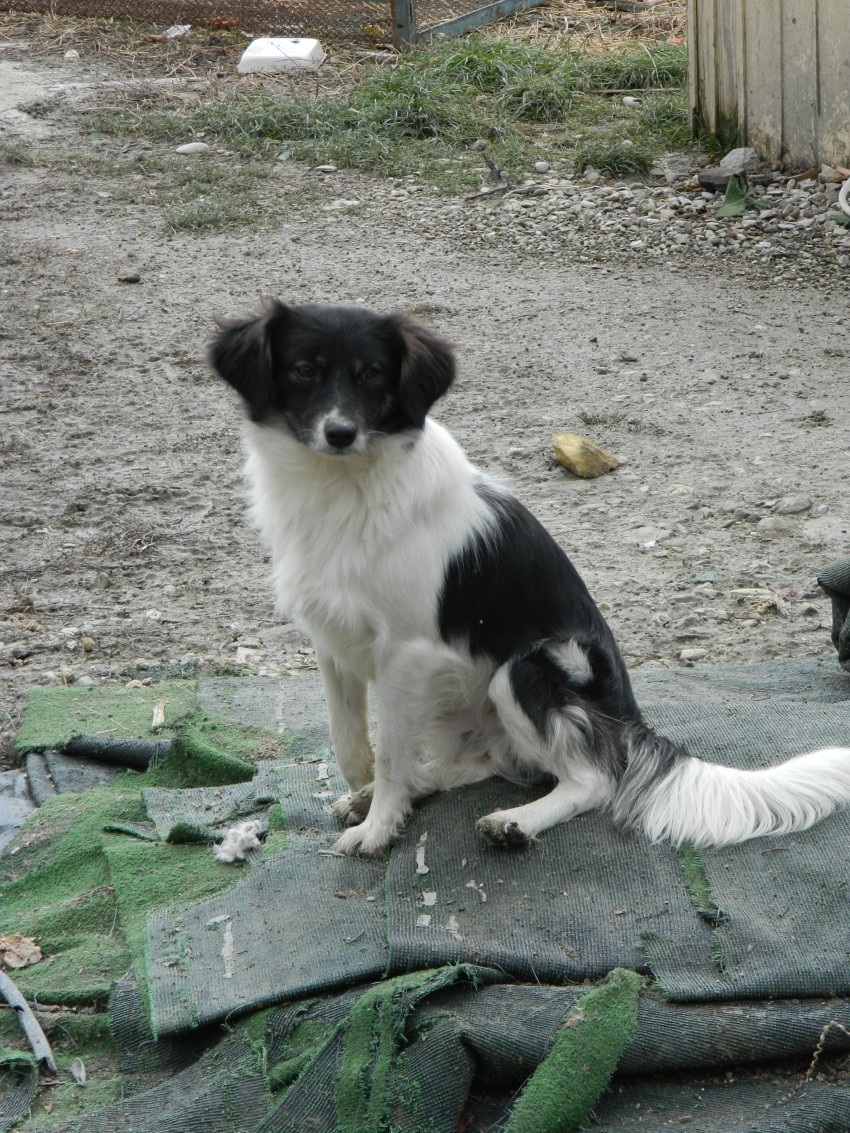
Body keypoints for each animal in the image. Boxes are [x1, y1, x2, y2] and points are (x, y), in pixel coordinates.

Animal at [211, 301, 850, 856]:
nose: (340, 433)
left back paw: (516, 823)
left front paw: (377, 828)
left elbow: (390, 752)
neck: (344, 487)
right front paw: (368, 799)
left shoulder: (407, 652)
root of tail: (629, 720)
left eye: (372, 376)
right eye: (303, 371)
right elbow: (351, 741)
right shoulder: (333, 640)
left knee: (592, 781)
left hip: (527, 666)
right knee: (465, 766)